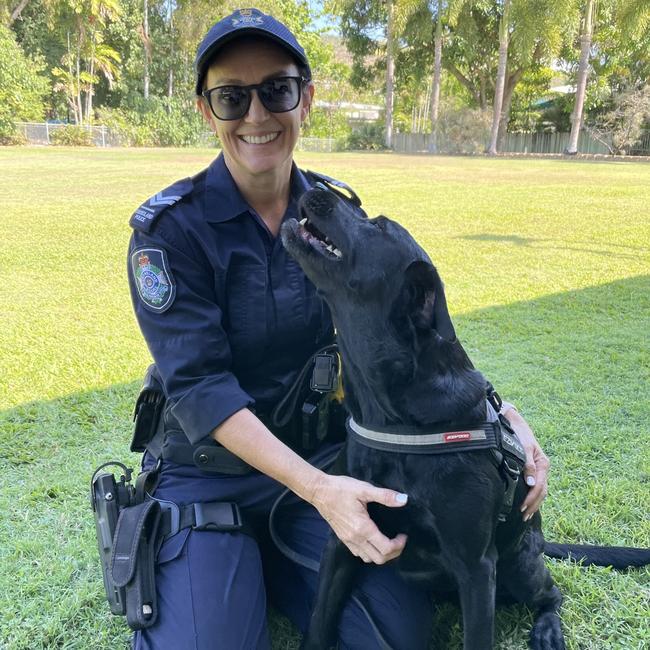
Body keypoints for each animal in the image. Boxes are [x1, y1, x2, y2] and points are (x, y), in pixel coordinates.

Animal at [282, 186, 648, 648]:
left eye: (377, 225)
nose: (316, 189)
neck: (393, 418)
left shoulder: (476, 566)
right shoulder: (344, 535)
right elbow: (319, 620)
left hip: (518, 566)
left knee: (553, 593)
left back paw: (547, 630)